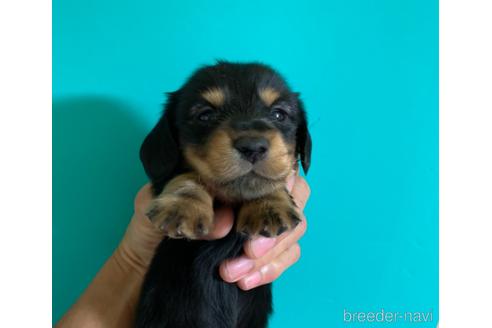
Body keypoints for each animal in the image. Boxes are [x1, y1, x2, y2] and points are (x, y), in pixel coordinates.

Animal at [135, 61, 312, 328]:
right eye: (205, 115)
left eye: (279, 114)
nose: (253, 146)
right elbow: (188, 175)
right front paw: (182, 207)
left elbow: (267, 182)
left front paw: (268, 206)